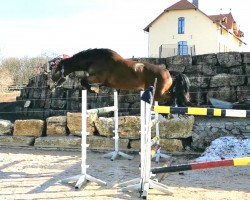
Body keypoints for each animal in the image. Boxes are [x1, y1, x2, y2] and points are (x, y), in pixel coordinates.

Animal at [50, 48, 189, 106]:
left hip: (158, 93)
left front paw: (94, 90)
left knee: (173, 95)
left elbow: (84, 81)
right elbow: (85, 82)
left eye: (54, 72)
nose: (49, 86)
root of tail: (168, 72)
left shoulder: (98, 78)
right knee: (173, 94)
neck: (93, 59)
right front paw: (95, 89)